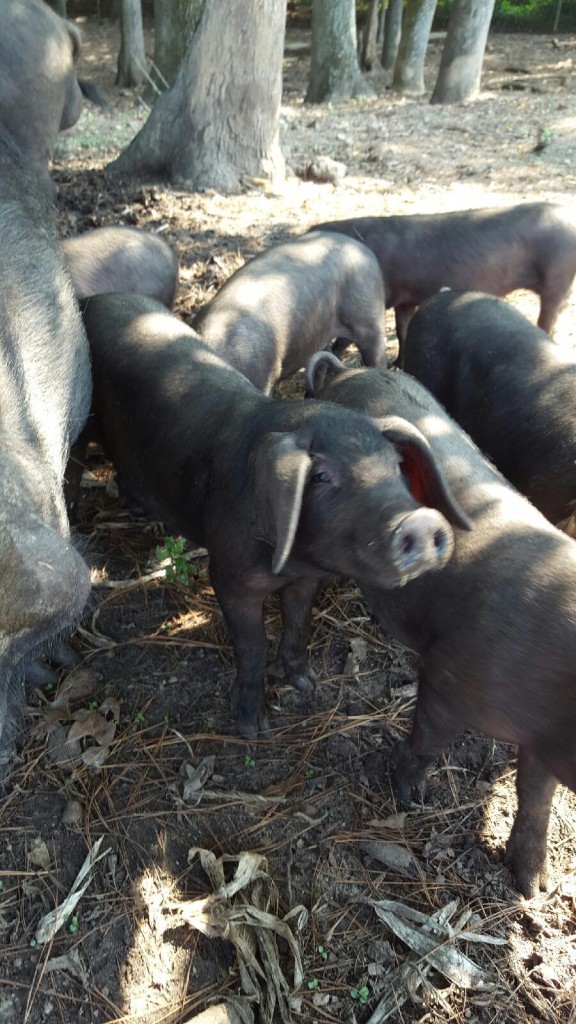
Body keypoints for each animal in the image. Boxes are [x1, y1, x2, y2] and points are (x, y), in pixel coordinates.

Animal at [79, 292, 467, 741]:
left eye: (395, 465)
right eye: (320, 475)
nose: (421, 522)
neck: (290, 559)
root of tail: (94, 298)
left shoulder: (308, 577)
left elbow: (298, 621)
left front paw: (304, 683)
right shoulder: (229, 576)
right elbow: (252, 645)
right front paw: (253, 728)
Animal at [307, 352, 576, 897]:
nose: (538, 890)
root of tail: (343, 372)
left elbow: (536, 797)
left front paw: (531, 886)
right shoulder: (446, 675)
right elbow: (427, 740)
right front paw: (409, 796)